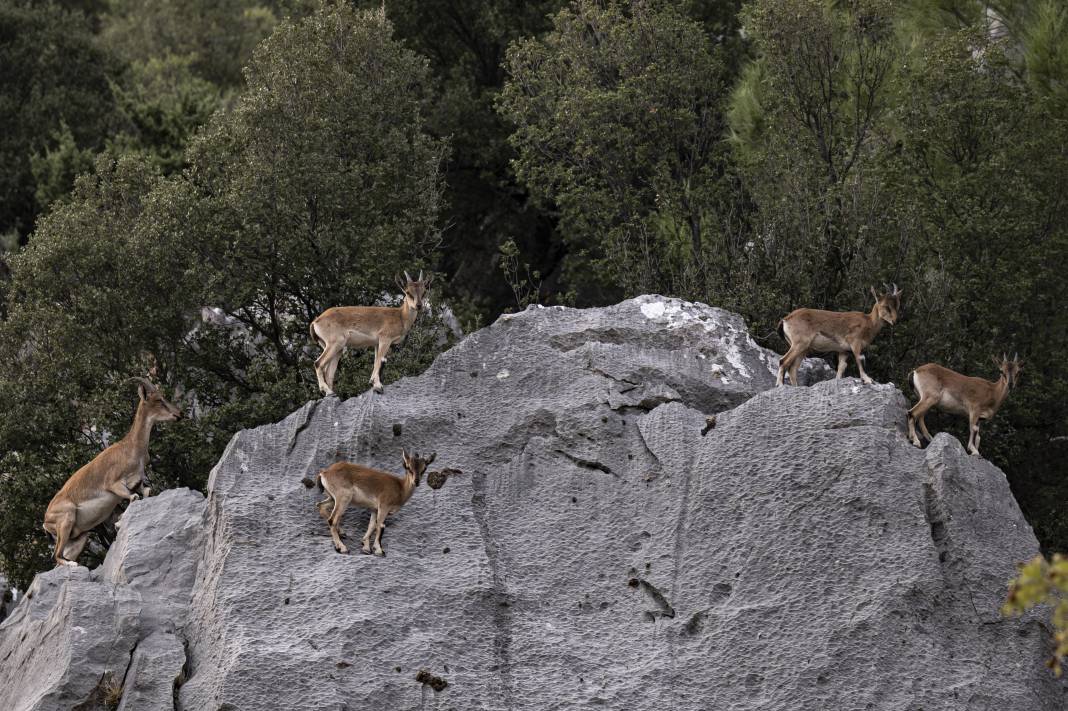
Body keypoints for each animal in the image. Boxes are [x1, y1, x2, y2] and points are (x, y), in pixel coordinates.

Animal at [42, 375, 181, 563]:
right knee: (57, 556)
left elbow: (145, 492)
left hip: (79, 537)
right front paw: (119, 522)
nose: (179, 414)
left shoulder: (137, 483)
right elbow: (134, 497)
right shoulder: (114, 484)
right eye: (158, 399)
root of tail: (45, 521)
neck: (131, 448)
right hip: (66, 519)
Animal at [301, 448, 433, 555]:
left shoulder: (374, 509)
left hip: (333, 499)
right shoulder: (383, 507)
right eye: (408, 467)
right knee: (332, 519)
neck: (400, 488)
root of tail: (325, 472)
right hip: (343, 499)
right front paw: (379, 550)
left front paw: (366, 547)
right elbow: (380, 526)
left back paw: (342, 532)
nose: (416, 481)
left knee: (321, 506)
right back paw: (342, 548)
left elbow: (371, 525)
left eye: (424, 469)